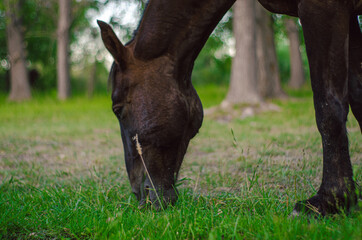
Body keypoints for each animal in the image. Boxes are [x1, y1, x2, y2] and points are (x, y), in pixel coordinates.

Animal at [97, 0, 362, 214]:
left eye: (117, 109)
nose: (139, 195)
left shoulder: (323, 8)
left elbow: (328, 108)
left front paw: (330, 200)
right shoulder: (348, 16)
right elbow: (357, 99)